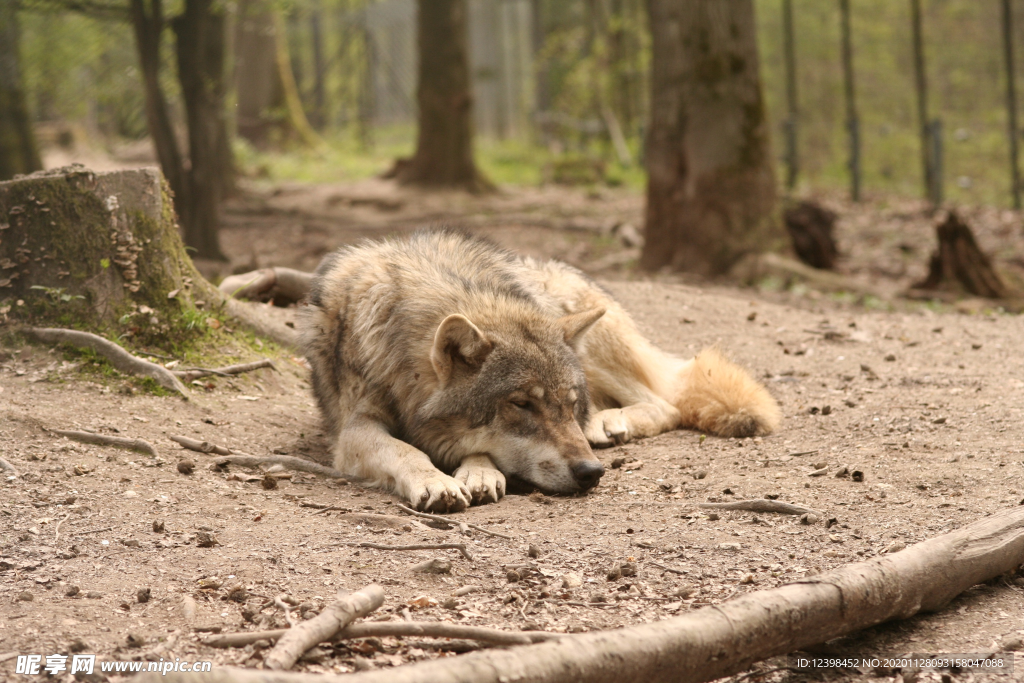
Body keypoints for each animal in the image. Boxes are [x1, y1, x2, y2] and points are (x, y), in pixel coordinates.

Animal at [299, 229, 778, 511]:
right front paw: (440, 480)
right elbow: (404, 450)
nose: (591, 473)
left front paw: (477, 471)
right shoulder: (355, 428)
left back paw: (608, 422)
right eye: (522, 404)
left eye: (568, 405)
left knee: (665, 403)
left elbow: (473, 447)